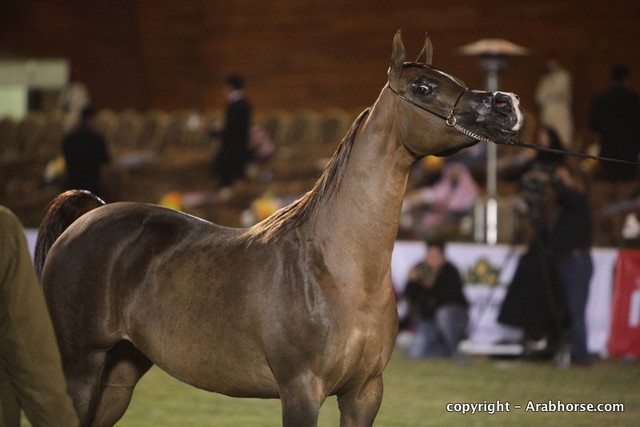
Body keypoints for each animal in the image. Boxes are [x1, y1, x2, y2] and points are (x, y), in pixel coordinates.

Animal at [36, 31, 523, 426]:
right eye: (424, 87)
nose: (507, 105)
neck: (338, 270)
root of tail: (88, 216)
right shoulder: (301, 391)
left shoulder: (365, 393)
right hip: (80, 367)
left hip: (119, 374)